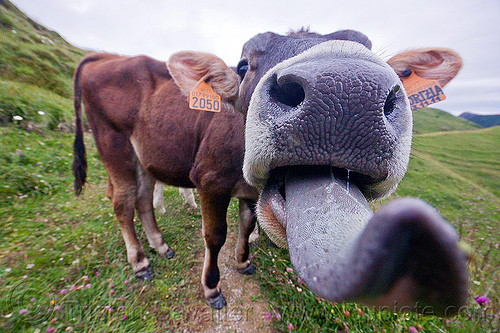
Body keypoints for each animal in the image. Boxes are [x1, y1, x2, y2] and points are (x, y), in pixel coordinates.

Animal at [73, 52, 258, 308]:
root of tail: (108, 57)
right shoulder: (210, 180)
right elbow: (216, 236)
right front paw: (212, 288)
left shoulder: (253, 190)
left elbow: (247, 224)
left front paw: (242, 261)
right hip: (113, 144)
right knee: (123, 203)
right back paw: (140, 262)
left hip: (145, 156)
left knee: (142, 198)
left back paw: (160, 245)